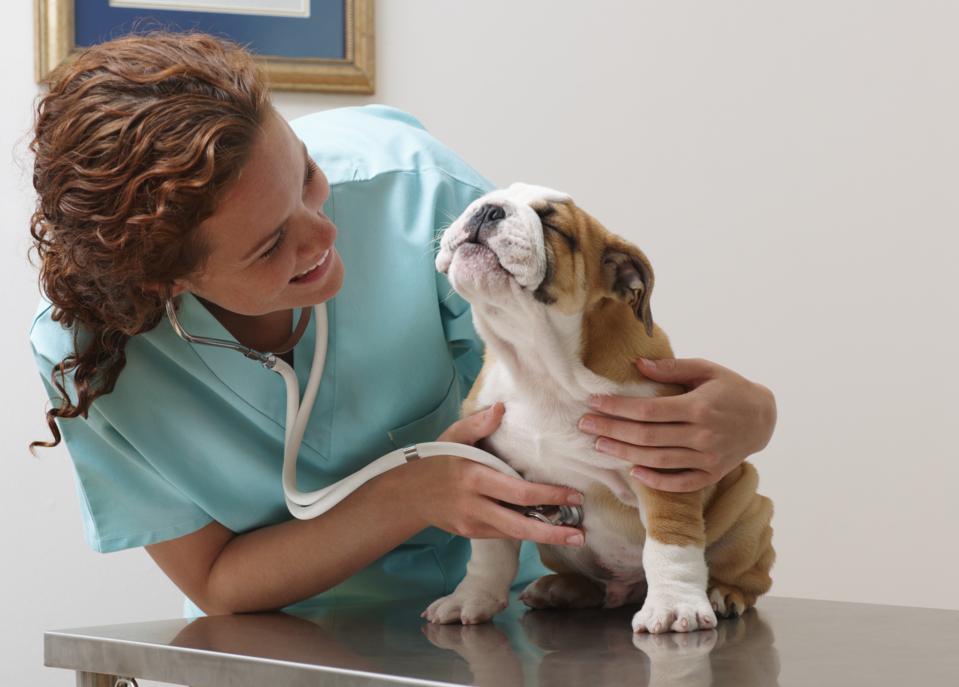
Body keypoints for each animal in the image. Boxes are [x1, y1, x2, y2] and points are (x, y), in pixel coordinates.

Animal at [432, 183, 776, 636]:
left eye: (553, 225)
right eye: (486, 199)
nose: (488, 210)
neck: (541, 365)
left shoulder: (664, 467)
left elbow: (671, 541)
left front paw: (673, 606)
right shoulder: (490, 469)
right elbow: (490, 550)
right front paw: (472, 598)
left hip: (749, 506)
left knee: (747, 574)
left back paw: (724, 593)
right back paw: (560, 589)